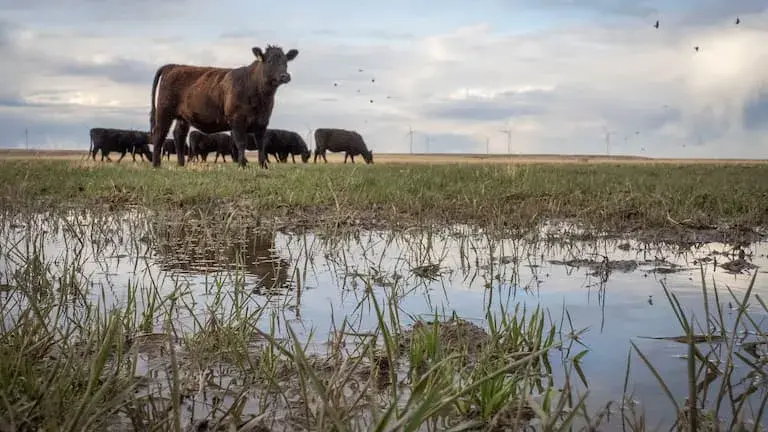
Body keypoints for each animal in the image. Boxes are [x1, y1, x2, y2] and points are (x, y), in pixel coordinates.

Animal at [148, 43, 298, 169]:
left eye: (286, 62)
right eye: (270, 61)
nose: (285, 76)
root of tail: (173, 66)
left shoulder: (263, 122)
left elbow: (261, 145)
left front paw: (263, 166)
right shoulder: (237, 120)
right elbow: (241, 143)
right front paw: (242, 165)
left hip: (183, 117)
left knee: (179, 135)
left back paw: (181, 164)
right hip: (164, 111)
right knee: (159, 134)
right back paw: (156, 165)